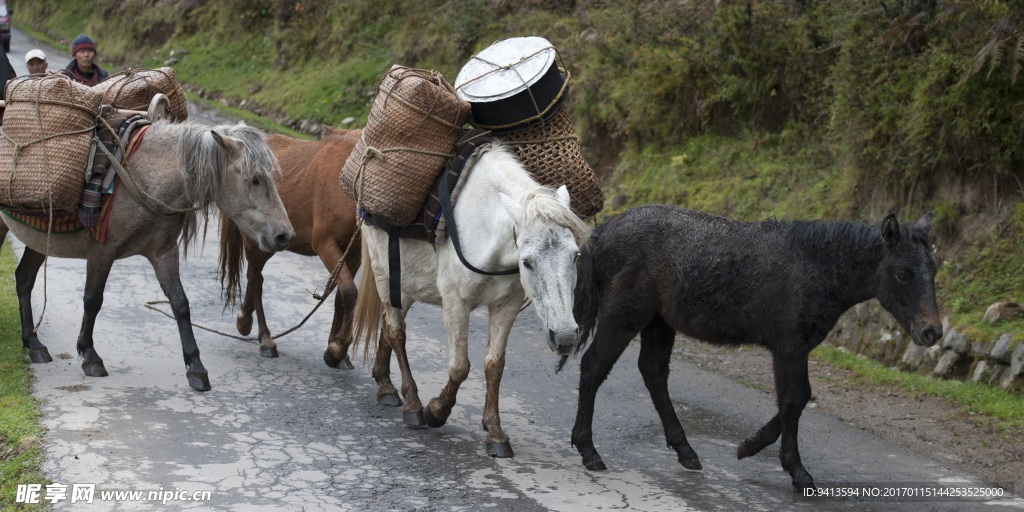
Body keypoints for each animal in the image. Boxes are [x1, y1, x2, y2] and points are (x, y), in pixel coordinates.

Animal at [2, 120, 294, 391]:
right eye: (254, 178)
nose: (284, 235)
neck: (144, 178)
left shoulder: (163, 253)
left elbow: (180, 304)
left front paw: (196, 368)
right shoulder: (102, 251)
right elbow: (93, 300)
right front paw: (90, 356)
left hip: (40, 240)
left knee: (24, 279)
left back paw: (34, 344)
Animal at [218, 128, 362, 368]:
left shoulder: (354, 254)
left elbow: (342, 296)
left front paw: (336, 346)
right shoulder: (326, 244)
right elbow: (350, 292)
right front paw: (337, 349)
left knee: (253, 278)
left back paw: (245, 321)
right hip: (256, 244)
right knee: (256, 282)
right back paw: (265, 338)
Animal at [354, 140, 589, 456]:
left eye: (575, 256)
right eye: (527, 262)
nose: (564, 338)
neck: (487, 225)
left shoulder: (507, 305)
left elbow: (494, 365)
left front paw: (495, 433)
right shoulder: (456, 303)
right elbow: (459, 366)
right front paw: (437, 411)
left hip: (405, 285)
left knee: (389, 325)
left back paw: (385, 385)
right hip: (383, 271)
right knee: (396, 331)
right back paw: (412, 404)